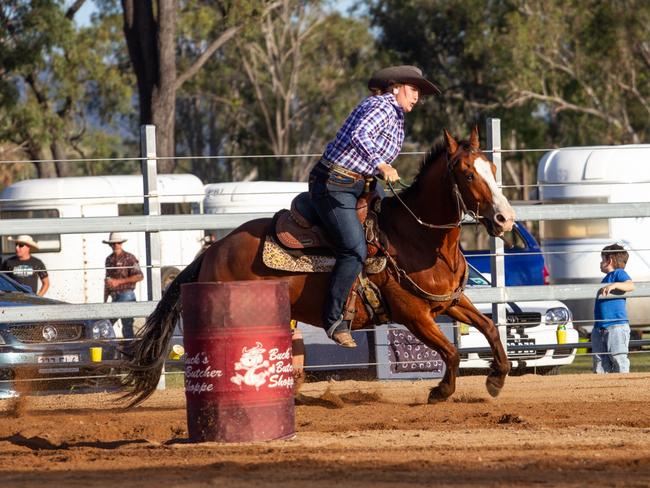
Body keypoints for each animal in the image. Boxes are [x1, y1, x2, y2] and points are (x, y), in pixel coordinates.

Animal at [124, 127, 512, 406]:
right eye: (467, 175)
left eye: (493, 169)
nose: (505, 219)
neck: (416, 237)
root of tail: (214, 249)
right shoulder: (414, 315)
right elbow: (451, 351)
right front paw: (440, 391)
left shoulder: (449, 302)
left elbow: (489, 328)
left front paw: (497, 376)